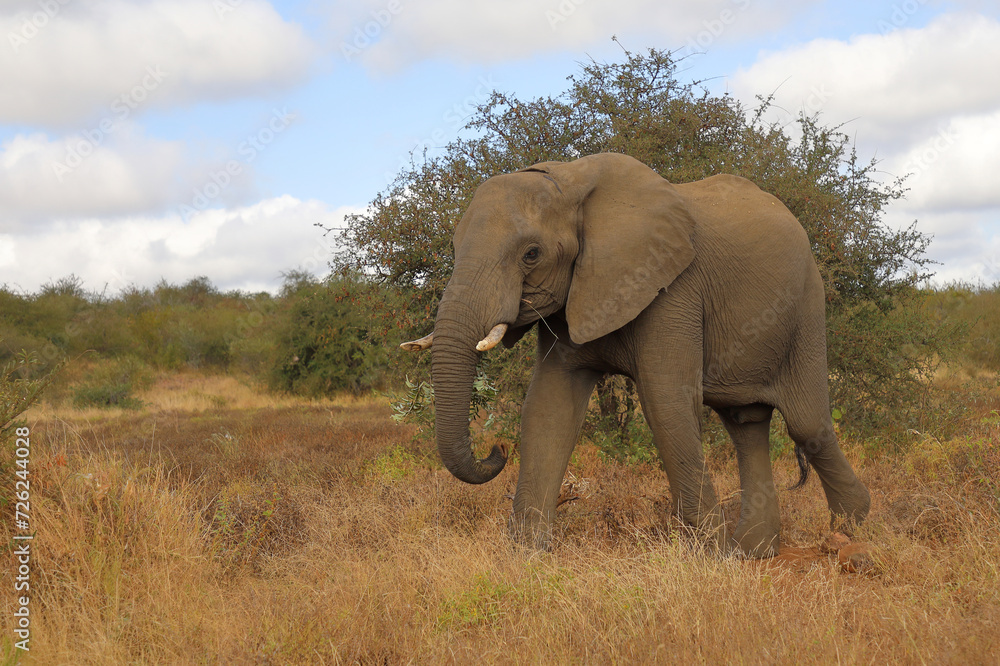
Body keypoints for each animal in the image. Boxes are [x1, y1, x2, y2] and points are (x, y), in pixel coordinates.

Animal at [401, 152, 870, 558]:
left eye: (531, 254)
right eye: (454, 248)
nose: (496, 450)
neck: (571, 181)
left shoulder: (671, 285)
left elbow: (665, 401)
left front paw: (711, 559)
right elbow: (548, 407)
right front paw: (526, 554)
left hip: (806, 306)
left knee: (805, 421)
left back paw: (851, 528)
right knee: (746, 423)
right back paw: (755, 551)